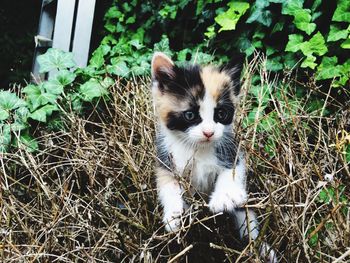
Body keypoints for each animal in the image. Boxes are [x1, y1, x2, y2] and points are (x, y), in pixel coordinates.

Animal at [152, 52, 278, 262]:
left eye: (221, 113)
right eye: (190, 115)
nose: (209, 133)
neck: (197, 147)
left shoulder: (231, 149)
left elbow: (232, 170)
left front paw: (224, 197)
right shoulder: (165, 158)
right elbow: (168, 184)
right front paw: (173, 215)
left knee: (248, 223)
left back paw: (260, 248)